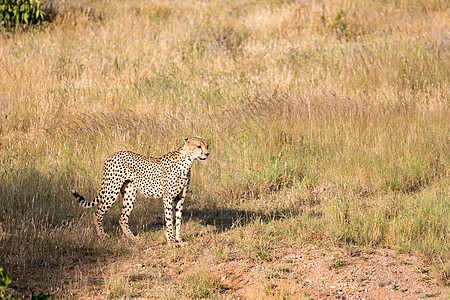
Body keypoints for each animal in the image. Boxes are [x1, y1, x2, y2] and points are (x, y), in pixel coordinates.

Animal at [71, 137, 210, 244]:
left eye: (207, 146)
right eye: (199, 146)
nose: (207, 154)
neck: (187, 162)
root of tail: (112, 155)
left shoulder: (180, 198)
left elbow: (178, 219)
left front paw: (179, 239)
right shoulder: (168, 197)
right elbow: (170, 219)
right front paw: (171, 241)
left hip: (130, 193)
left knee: (122, 217)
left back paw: (132, 237)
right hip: (112, 190)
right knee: (97, 212)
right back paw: (102, 235)